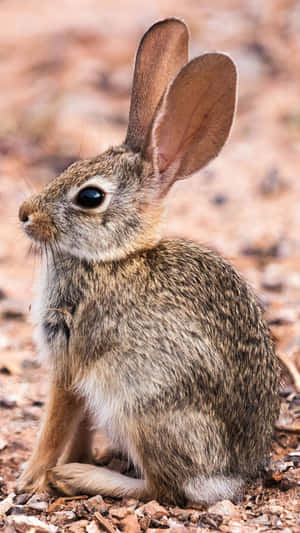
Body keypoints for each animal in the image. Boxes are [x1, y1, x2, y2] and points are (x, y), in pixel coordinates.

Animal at [17, 18, 278, 504]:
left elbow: (57, 420)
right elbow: (80, 424)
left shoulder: (71, 355)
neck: (112, 258)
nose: (24, 214)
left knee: (163, 488)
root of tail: (227, 478)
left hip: (143, 407)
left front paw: (32, 476)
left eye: (90, 197)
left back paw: (80, 477)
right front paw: (76, 457)